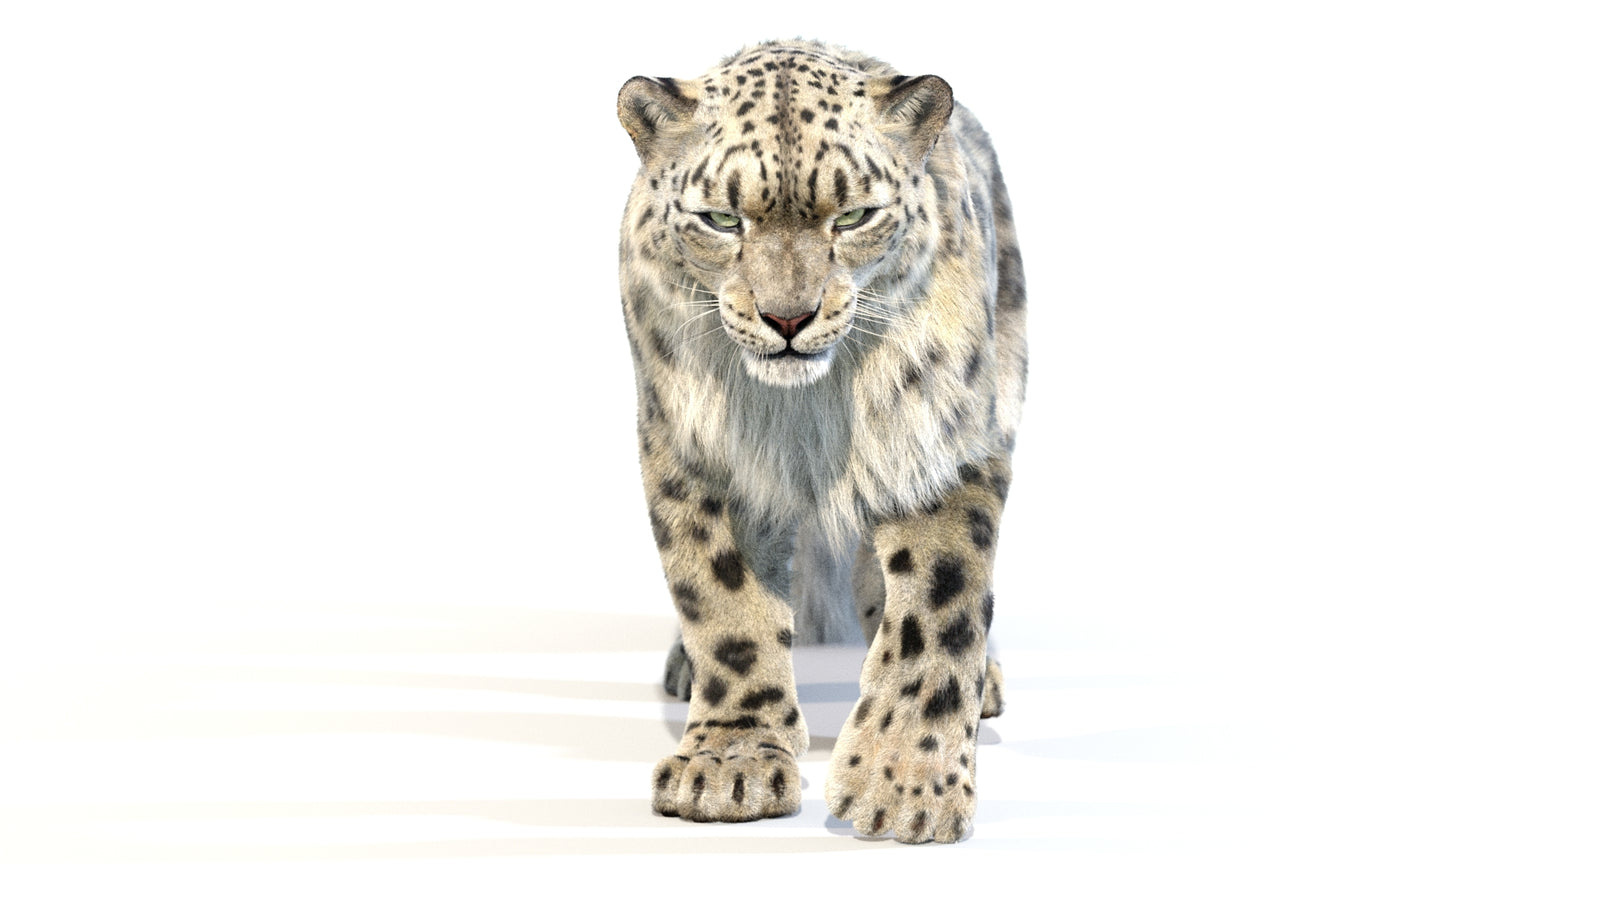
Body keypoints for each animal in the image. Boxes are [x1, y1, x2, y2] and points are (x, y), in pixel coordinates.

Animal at [616, 39, 1026, 844]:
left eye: (855, 215)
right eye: (721, 219)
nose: (787, 318)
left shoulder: (939, 439)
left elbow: (940, 607)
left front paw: (905, 790)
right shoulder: (701, 452)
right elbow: (723, 601)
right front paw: (730, 762)